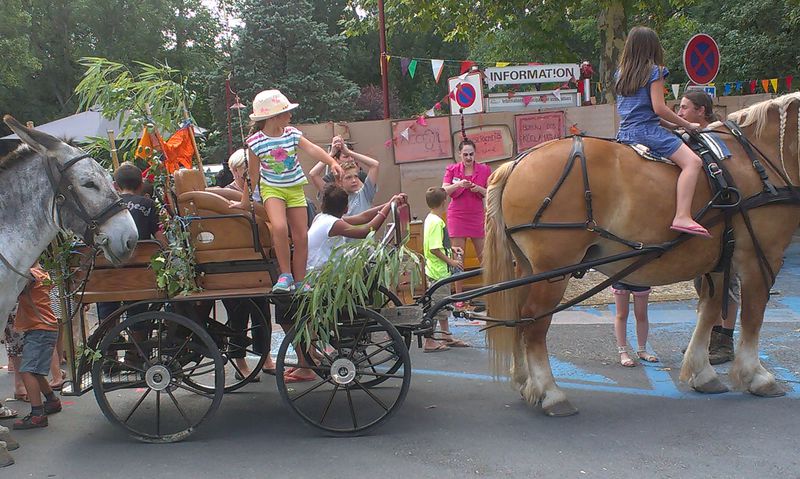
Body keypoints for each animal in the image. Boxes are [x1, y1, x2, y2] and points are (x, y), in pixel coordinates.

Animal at [484, 93, 800, 416]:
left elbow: (710, 311)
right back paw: (550, 393)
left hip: (528, 267)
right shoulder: (761, 256)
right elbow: (752, 315)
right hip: (553, 270)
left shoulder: (721, 259)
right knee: (534, 322)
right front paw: (757, 376)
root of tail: (516, 163)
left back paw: (525, 381)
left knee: (518, 318)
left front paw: (703, 373)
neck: (757, 159)